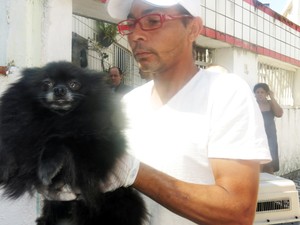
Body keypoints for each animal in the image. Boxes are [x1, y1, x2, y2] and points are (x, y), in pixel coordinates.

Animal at [0, 61, 146, 225]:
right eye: (47, 83)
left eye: (74, 84)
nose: (59, 90)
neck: (59, 117)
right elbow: (10, 145)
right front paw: (5, 166)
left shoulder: (96, 147)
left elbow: (59, 138)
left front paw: (47, 167)